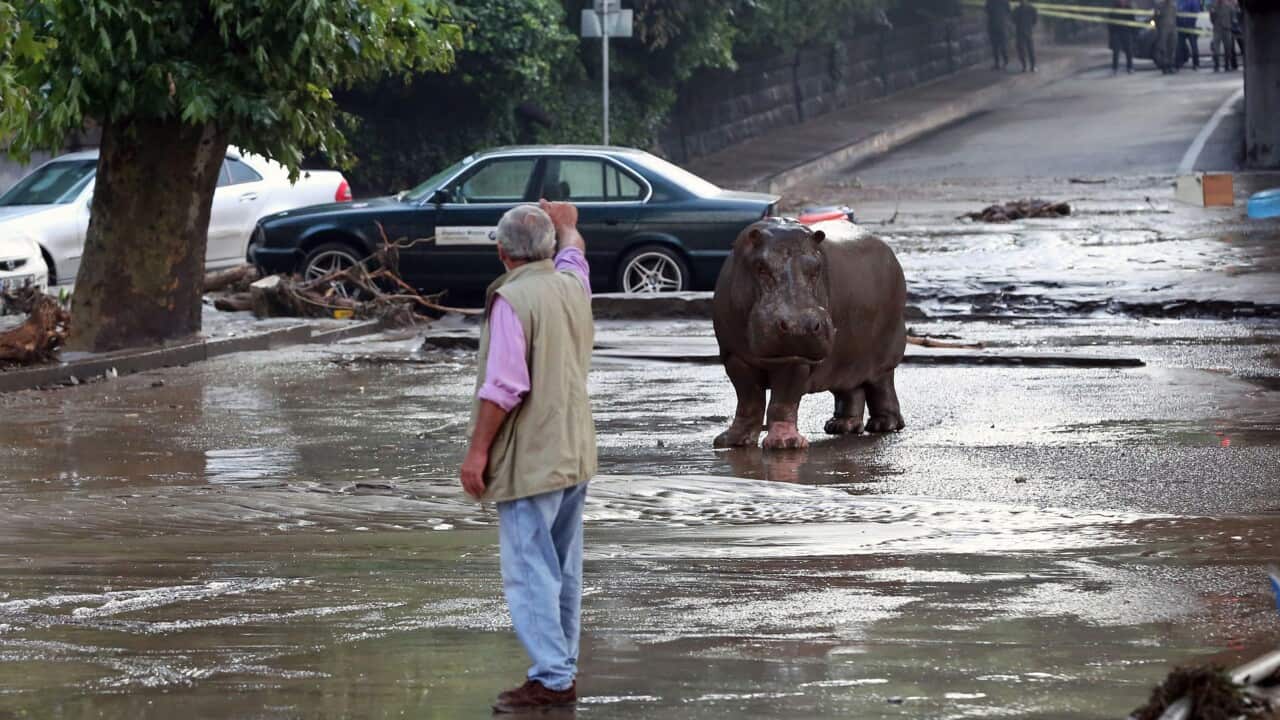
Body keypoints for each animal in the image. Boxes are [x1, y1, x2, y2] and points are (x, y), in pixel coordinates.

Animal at [712, 217, 906, 449]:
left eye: (816, 267)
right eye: (760, 267)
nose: (799, 325)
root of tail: (888, 250)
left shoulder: (796, 358)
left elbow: (783, 402)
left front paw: (785, 444)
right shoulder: (734, 356)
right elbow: (748, 400)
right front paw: (731, 441)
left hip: (884, 356)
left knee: (882, 386)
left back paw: (883, 425)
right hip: (846, 358)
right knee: (851, 388)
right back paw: (841, 426)